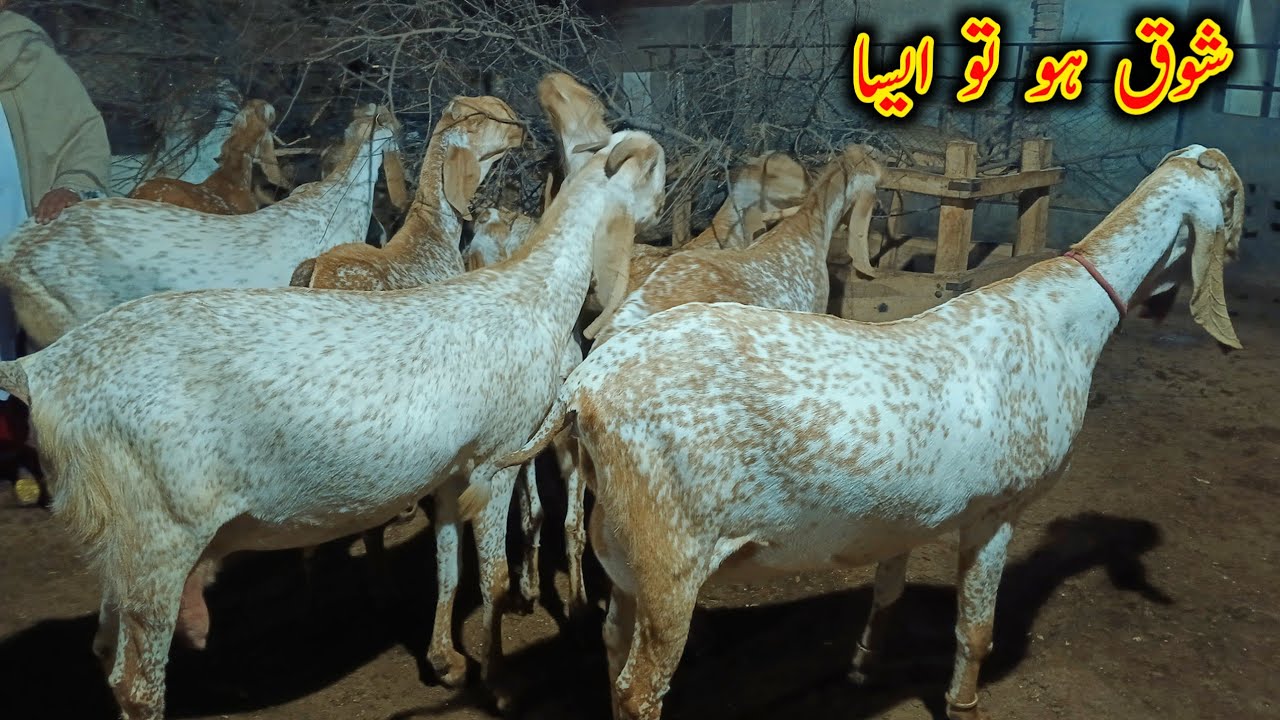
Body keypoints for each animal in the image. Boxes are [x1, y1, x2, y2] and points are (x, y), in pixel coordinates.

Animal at [0, 130, 664, 720]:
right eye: (652, 168)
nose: (663, 207)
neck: (533, 291)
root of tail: (42, 370)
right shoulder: (495, 458)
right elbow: (495, 579)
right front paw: (499, 685)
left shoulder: (452, 471)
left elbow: (449, 565)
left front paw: (446, 662)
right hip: (158, 532)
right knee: (135, 684)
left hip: (122, 541)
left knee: (104, 651)